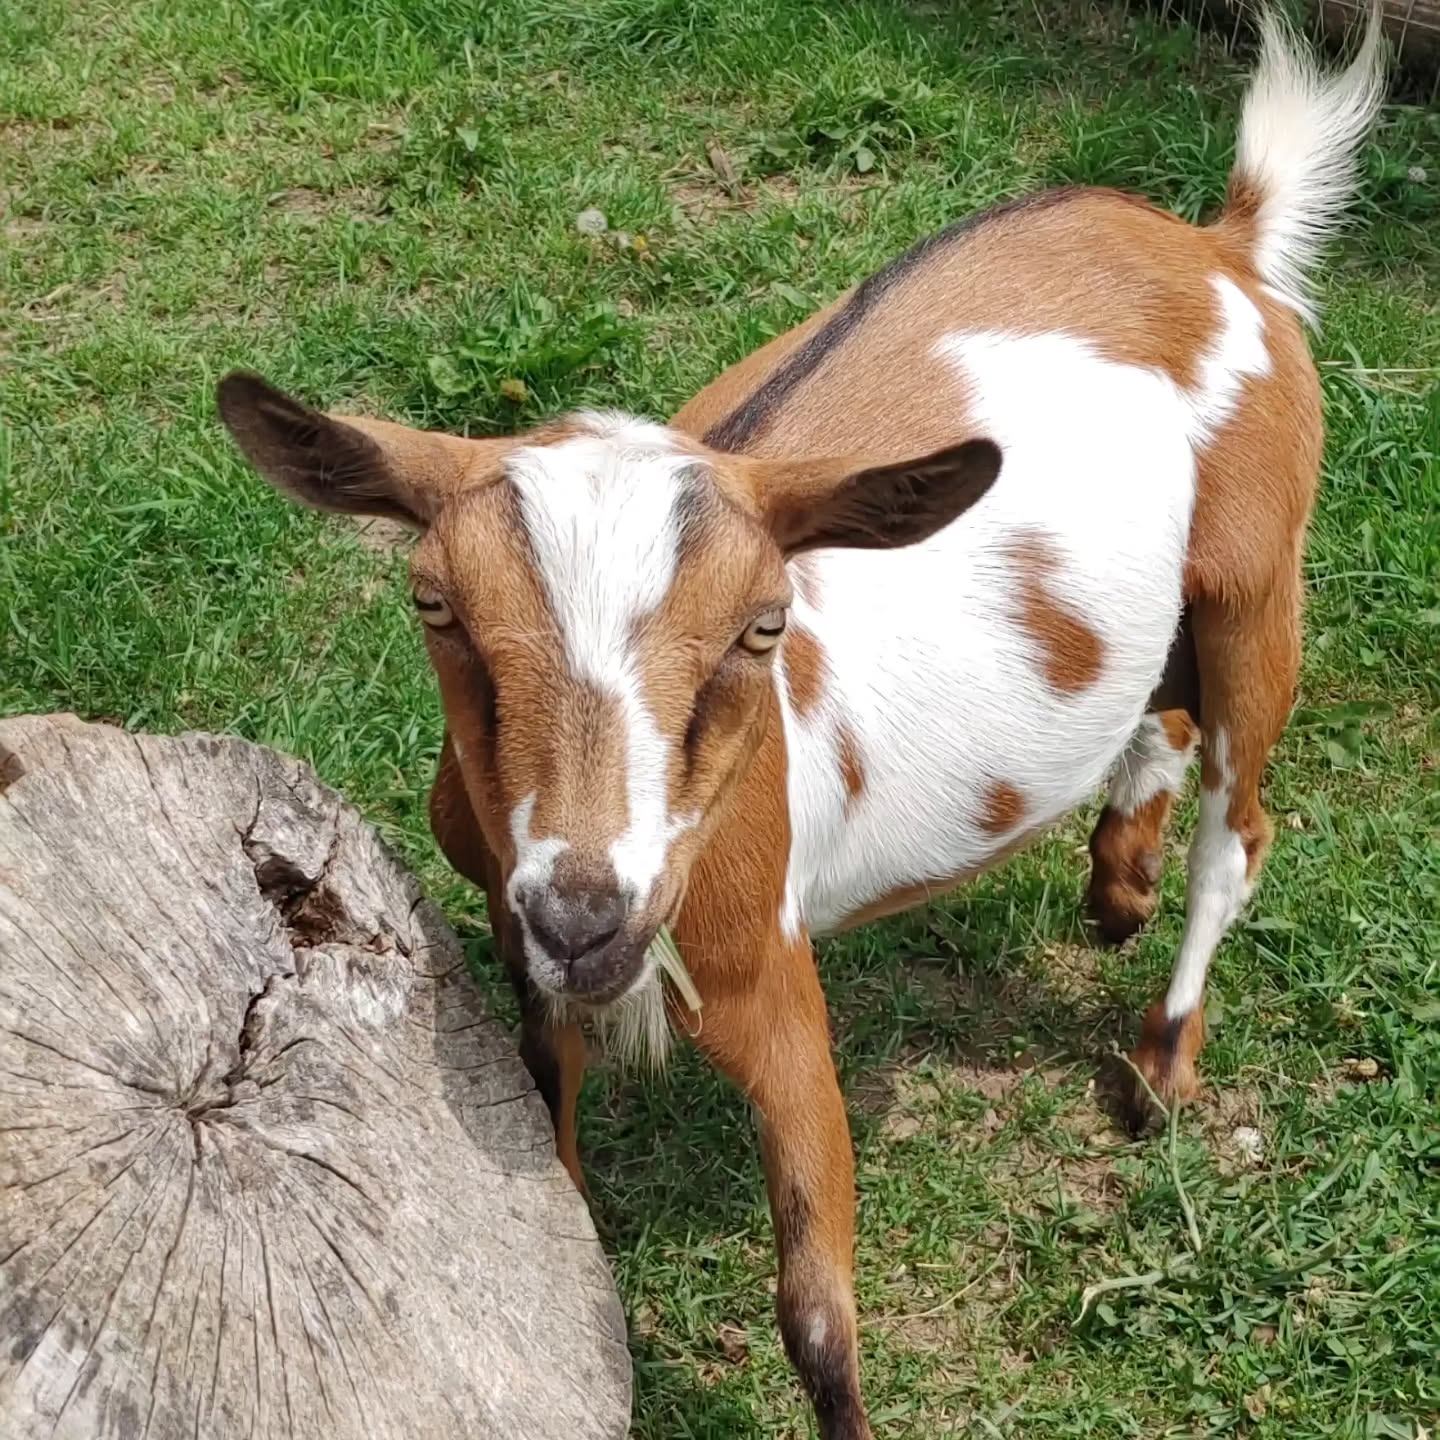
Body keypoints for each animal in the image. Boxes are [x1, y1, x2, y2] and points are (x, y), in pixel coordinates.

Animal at [219, 15, 1383, 1436]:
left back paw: (1161, 1063)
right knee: (1161, 705)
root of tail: (1220, 245)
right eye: (434, 605)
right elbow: (561, 1191)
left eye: (762, 626)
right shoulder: (521, 951)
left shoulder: (768, 976)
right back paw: (1119, 880)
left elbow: (818, 1316)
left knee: (1244, 817)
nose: (587, 912)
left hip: (1260, 576)